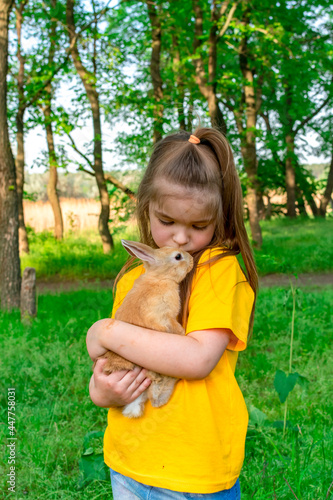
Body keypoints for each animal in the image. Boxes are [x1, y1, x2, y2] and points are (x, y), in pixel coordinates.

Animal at [93, 238, 192, 418]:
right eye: (178, 256)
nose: (192, 259)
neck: (160, 277)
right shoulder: (166, 317)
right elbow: (173, 326)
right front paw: (183, 334)